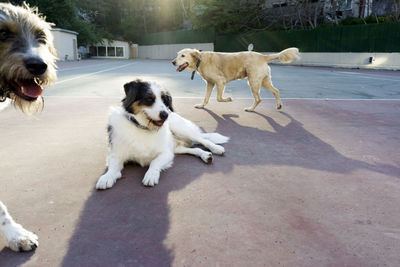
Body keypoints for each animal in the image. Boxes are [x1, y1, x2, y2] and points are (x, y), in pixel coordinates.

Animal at [95, 78, 230, 189]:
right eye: (149, 99)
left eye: (165, 101)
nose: (165, 115)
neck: (143, 128)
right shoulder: (115, 155)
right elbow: (113, 168)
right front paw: (107, 177)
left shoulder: (166, 153)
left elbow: (154, 162)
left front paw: (151, 175)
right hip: (177, 148)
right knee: (194, 149)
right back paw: (205, 155)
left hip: (181, 129)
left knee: (203, 140)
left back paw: (216, 148)